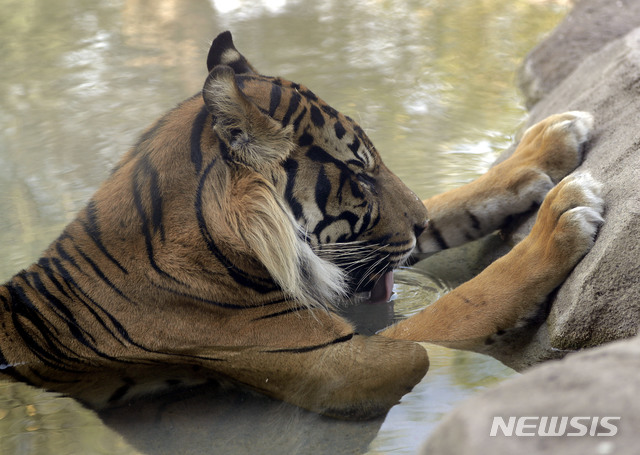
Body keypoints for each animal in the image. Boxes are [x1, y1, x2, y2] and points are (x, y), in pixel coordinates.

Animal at [0, 30, 604, 418]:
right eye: (359, 175)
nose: (416, 222)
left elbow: (452, 204)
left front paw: (549, 144)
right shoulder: (340, 363)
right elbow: (459, 307)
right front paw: (560, 219)